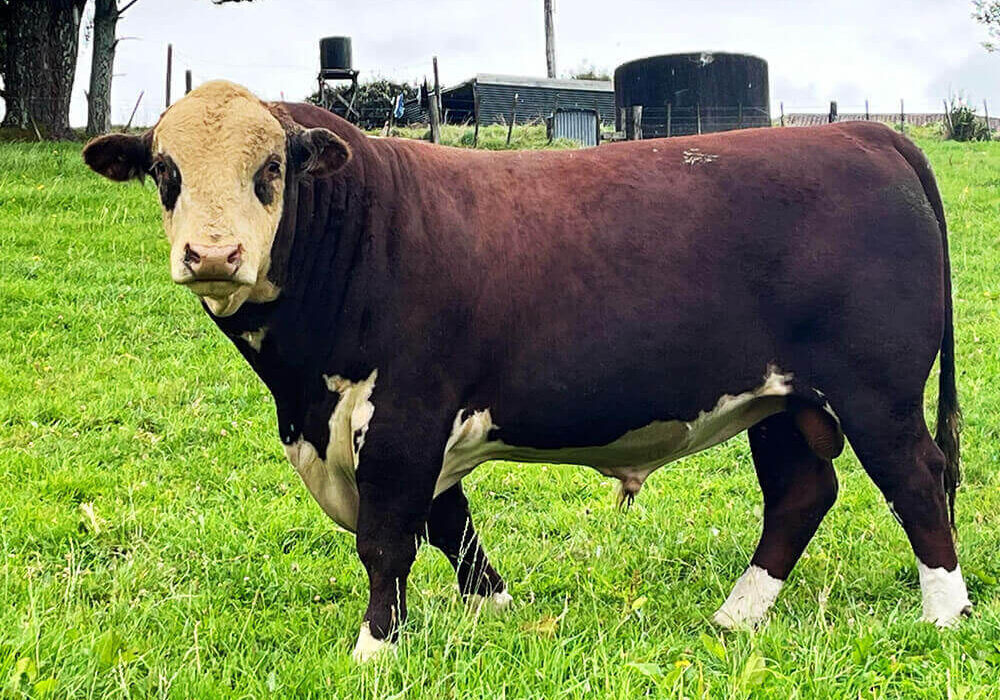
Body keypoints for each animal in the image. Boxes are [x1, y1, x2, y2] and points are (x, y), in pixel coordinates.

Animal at [82, 80, 969, 661]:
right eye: (165, 172)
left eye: (270, 170)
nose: (213, 254)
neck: (302, 397)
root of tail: (866, 134)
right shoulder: (409, 428)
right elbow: (451, 525)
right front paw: (498, 611)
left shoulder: (404, 417)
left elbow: (388, 539)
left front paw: (376, 650)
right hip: (782, 399)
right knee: (801, 492)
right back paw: (735, 618)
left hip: (876, 392)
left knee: (916, 479)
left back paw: (946, 613)